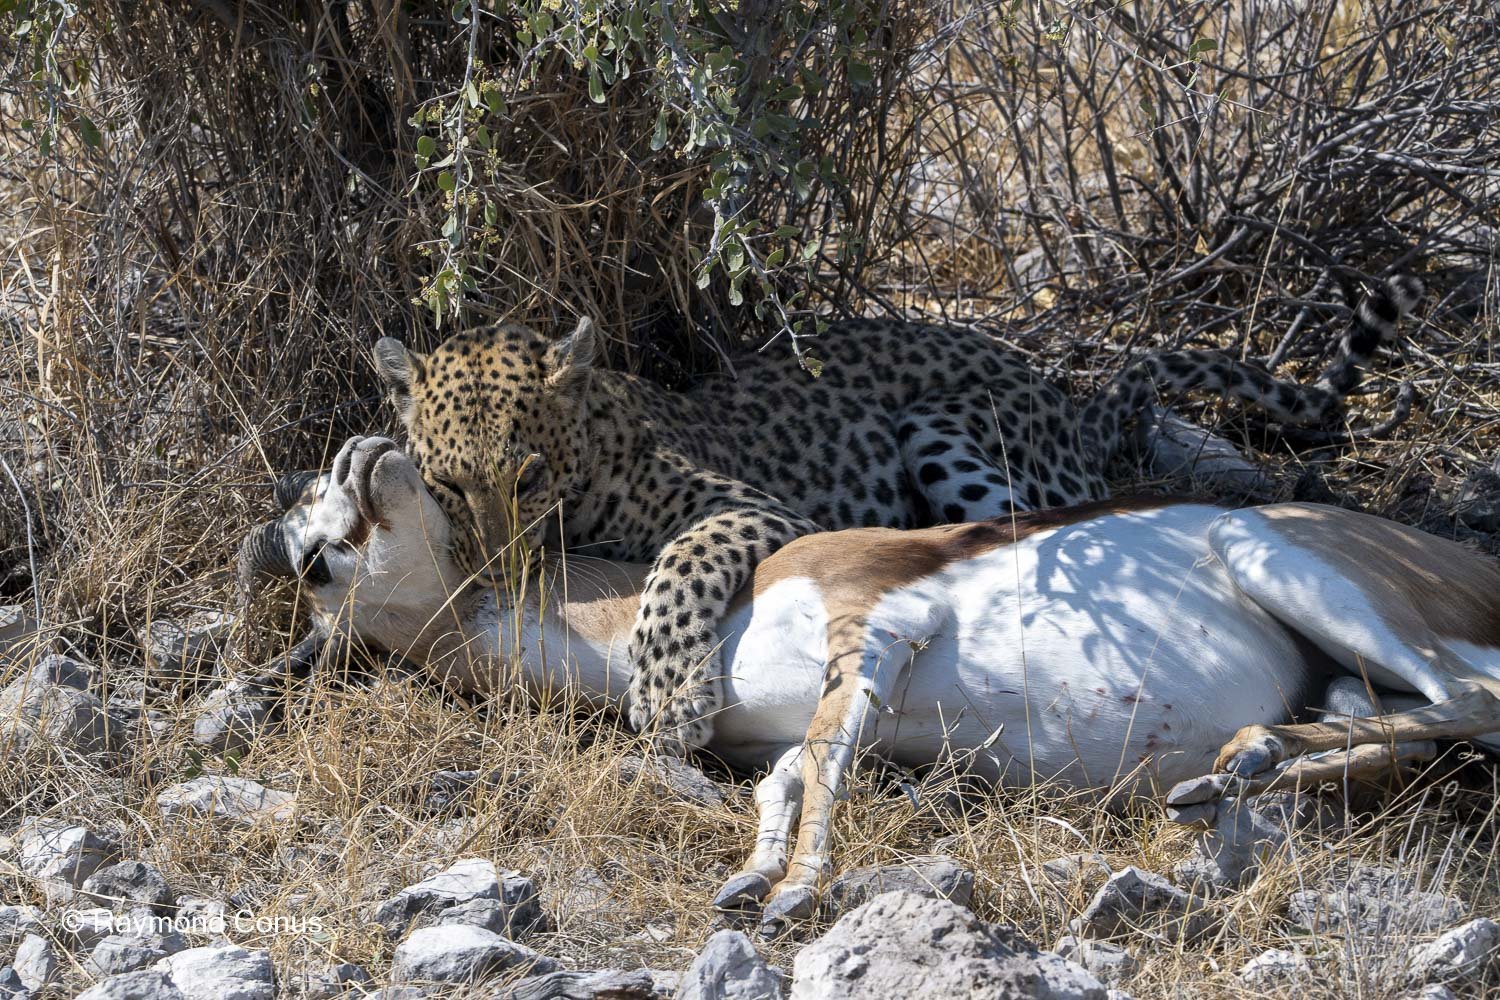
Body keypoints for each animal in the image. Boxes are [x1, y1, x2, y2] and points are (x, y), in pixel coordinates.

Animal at [371, 274, 1423, 751]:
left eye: (529, 474)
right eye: (449, 484)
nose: (500, 569)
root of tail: (1062, 389)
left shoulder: (746, 505)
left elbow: (679, 563)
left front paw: (668, 692)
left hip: (950, 432)